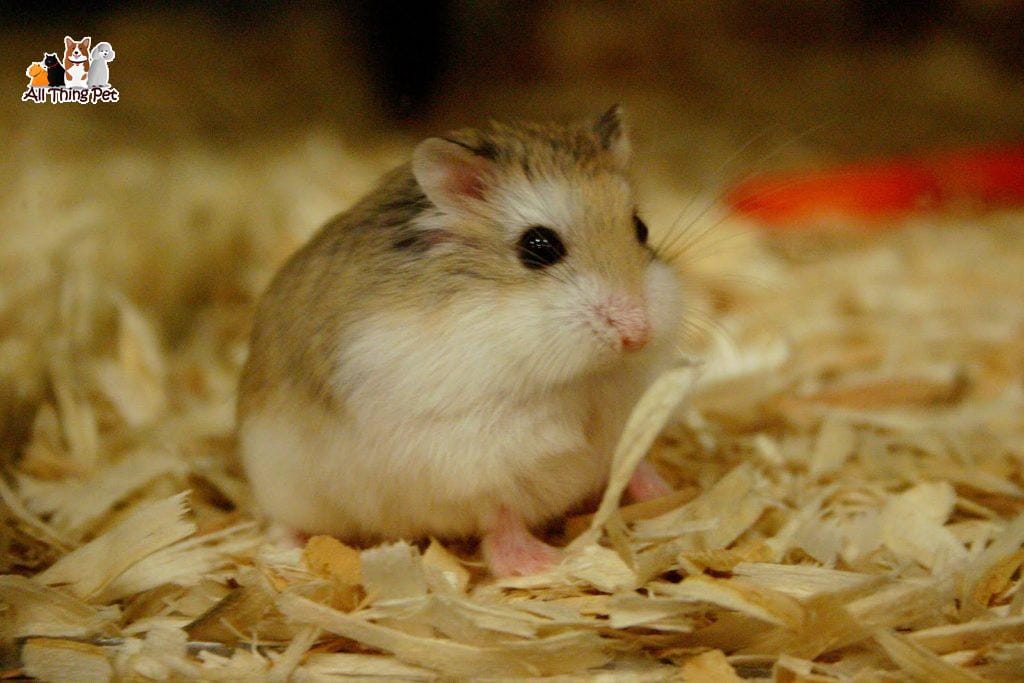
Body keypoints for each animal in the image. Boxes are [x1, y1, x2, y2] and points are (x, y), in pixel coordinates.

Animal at [237, 107, 684, 576]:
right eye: (539, 246)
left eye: (641, 228)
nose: (637, 333)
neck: (583, 376)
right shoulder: (471, 459)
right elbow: (501, 512)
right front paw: (543, 564)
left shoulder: (626, 414)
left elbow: (630, 460)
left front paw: (670, 493)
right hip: (286, 486)